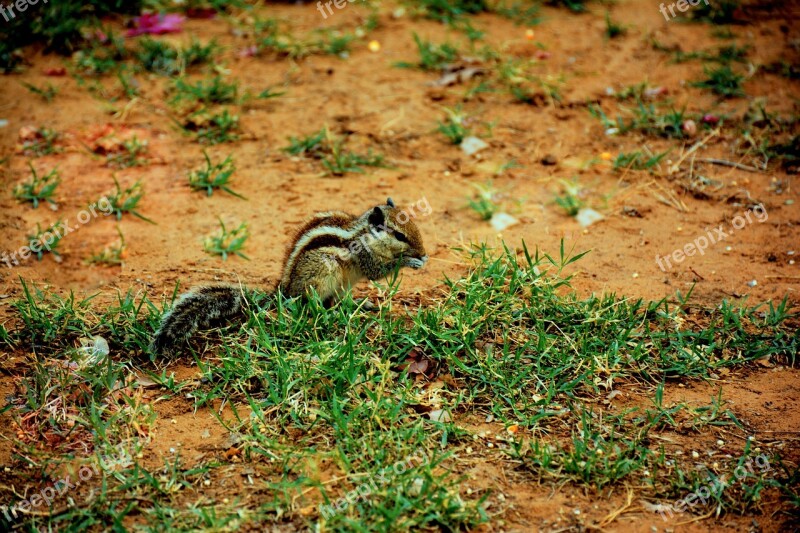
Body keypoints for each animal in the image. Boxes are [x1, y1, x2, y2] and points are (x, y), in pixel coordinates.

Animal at [149, 196, 424, 354]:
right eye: (400, 235)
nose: (423, 251)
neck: (364, 233)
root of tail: (284, 291)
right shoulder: (364, 254)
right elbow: (377, 271)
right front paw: (410, 260)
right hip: (325, 271)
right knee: (312, 303)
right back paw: (328, 312)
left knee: (339, 300)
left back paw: (358, 305)